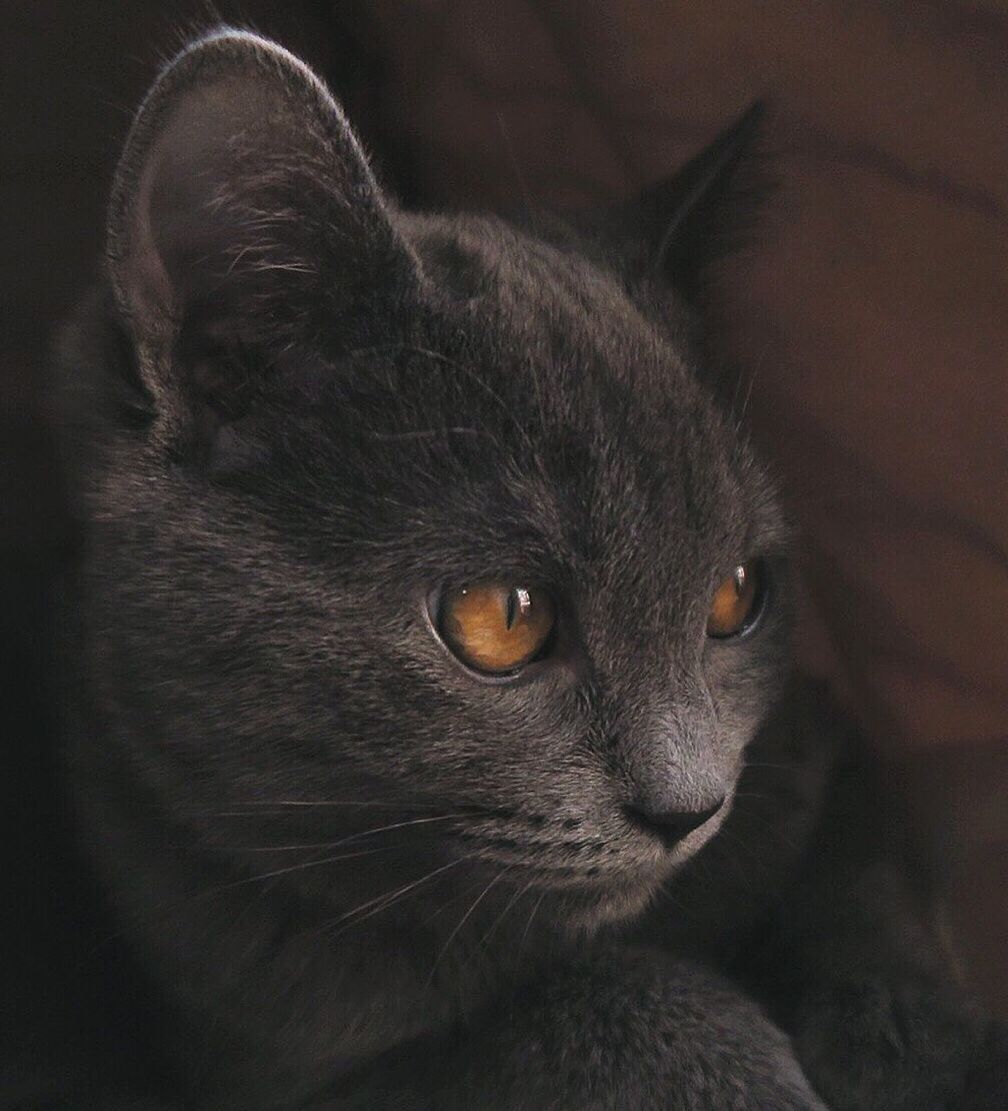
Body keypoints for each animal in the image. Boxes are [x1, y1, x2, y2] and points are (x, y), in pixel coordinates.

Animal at [21, 23, 1000, 1111]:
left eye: (735, 595)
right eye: (503, 614)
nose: (691, 806)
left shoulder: (817, 749)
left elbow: (862, 886)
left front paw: (926, 1047)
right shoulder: (271, 1053)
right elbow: (586, 1002)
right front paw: (731, 1069)